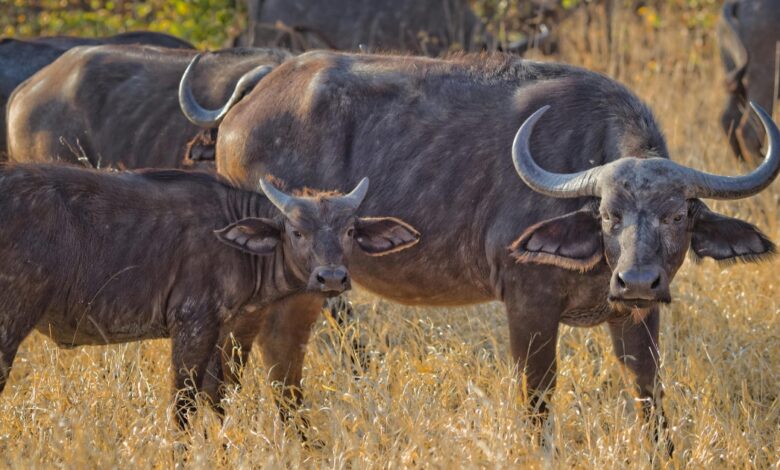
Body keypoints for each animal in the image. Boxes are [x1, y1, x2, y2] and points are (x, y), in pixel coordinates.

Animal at [0, 164, 420, 428]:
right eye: (297, 231)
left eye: (349, 231)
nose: (331, 277)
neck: (232, 241)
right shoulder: (192, 326)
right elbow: (183, 408)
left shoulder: (224, 334)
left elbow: (217, 403)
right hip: (10, 323)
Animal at [180, 50, 779, 448]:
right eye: (608, 214)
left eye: (678, 215)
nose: (635, 280)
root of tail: (254, 93)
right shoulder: (528, 304)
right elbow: (537, 399)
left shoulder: (637, 315)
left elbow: (649, 394)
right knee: (248, 355)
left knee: (276, 355)